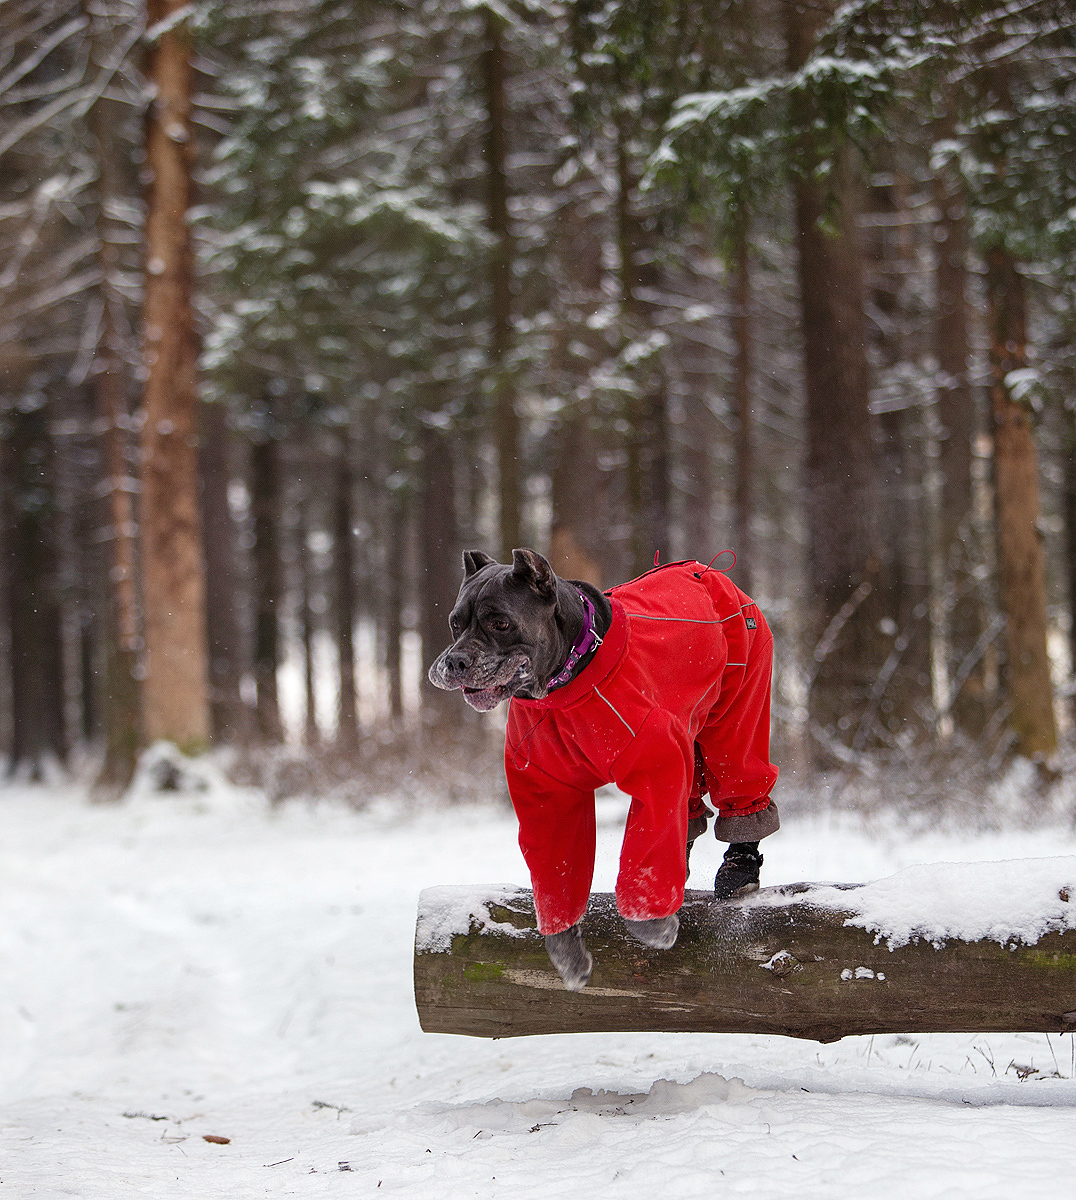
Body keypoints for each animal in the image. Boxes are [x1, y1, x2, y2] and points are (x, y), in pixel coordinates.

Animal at [429, 549, 782, 988]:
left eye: (500, 623)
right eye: (455, 623)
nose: (457, 660)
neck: (564, 689)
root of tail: (708, 570)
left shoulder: (658, 766)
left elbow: (647, 842)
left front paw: (651, 922)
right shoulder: (548, 798)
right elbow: (558, 870)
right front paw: (566, 950)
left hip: (736, 712)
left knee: (739, 776)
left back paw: (740, 869)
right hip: (692, 734)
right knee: (688, 807)